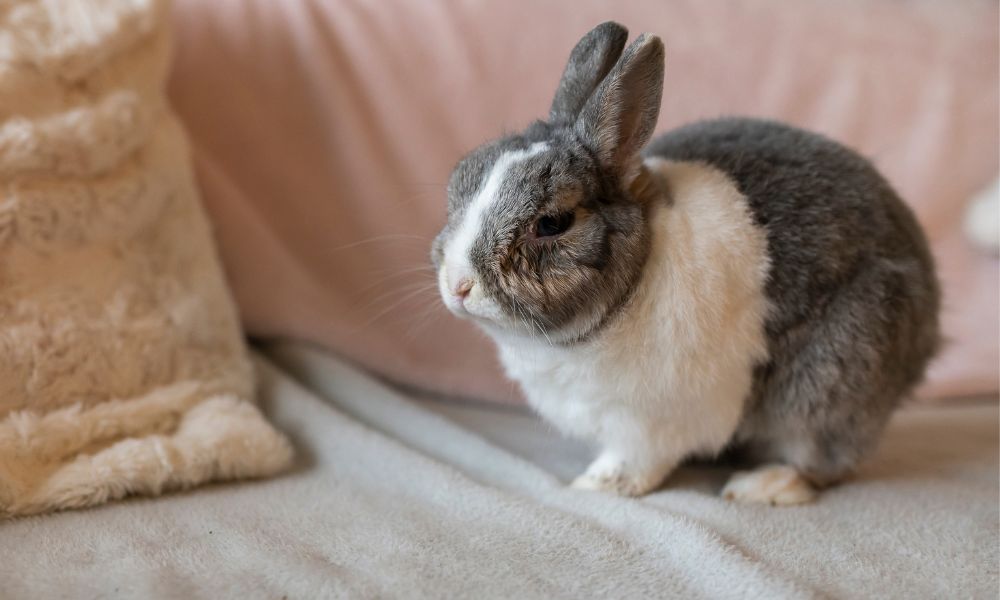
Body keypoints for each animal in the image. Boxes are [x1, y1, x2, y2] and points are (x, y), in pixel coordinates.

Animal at [431, 22, 940, 504]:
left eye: (553, 223)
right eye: (458, 181)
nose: (459, 285)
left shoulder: (647, 426)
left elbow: (634, 462)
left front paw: (594, 486)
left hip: (833, 378)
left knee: (824, 458)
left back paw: (762, 485)